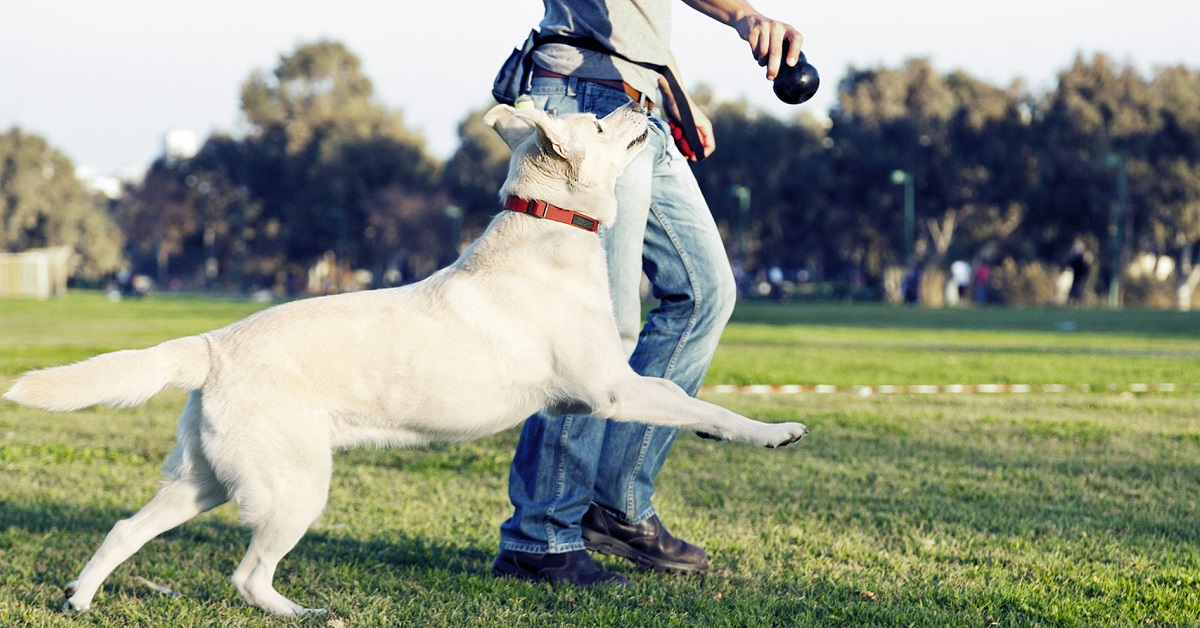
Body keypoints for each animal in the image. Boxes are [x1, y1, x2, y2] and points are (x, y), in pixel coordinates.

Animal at [4, 100, 806, 614]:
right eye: (602, 122)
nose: (643, 100)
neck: (548, 231)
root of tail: (212, 345)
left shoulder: (607, 391)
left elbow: (684, 407)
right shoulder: (610, 389)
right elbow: (698, 403)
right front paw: (774, 432)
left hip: (203, 481)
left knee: (124, 529)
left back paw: (80, 598)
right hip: (294, 488)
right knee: (247, 574)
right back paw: (301, 612)